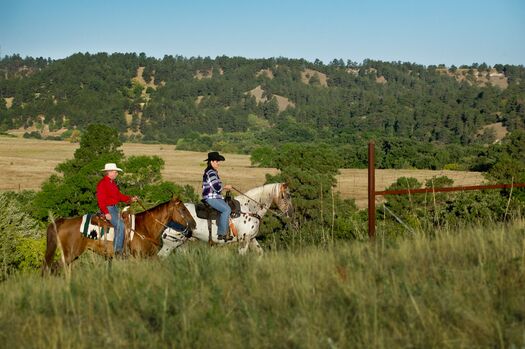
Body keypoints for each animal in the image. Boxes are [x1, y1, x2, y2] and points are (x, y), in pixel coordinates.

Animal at [41, 196, 196, 272]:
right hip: (70, 254)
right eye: (183, 209)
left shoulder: (150, 257)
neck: (145, 227)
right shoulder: (138, 257)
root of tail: (62, 221)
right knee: (54, 267)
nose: (194, 224)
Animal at [158, 182, 292, 256]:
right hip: (170, 243)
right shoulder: (244, 240)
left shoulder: (252, 239)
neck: (249, 208)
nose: (290, 213)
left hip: (181, 244)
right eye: (287, 195)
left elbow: (260, 253)